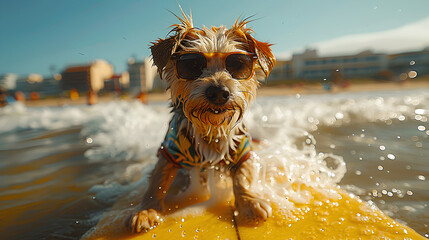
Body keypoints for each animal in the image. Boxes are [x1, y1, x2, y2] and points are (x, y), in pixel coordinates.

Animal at [127, 11, 274, 234]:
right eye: (192, 65)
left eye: (237, 64)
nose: (219, 92)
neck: (211, 127)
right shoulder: (171, 149)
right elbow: (158, 180)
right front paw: (146, 210)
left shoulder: (242, 148)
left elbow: (242, 176)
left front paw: (250, 202)